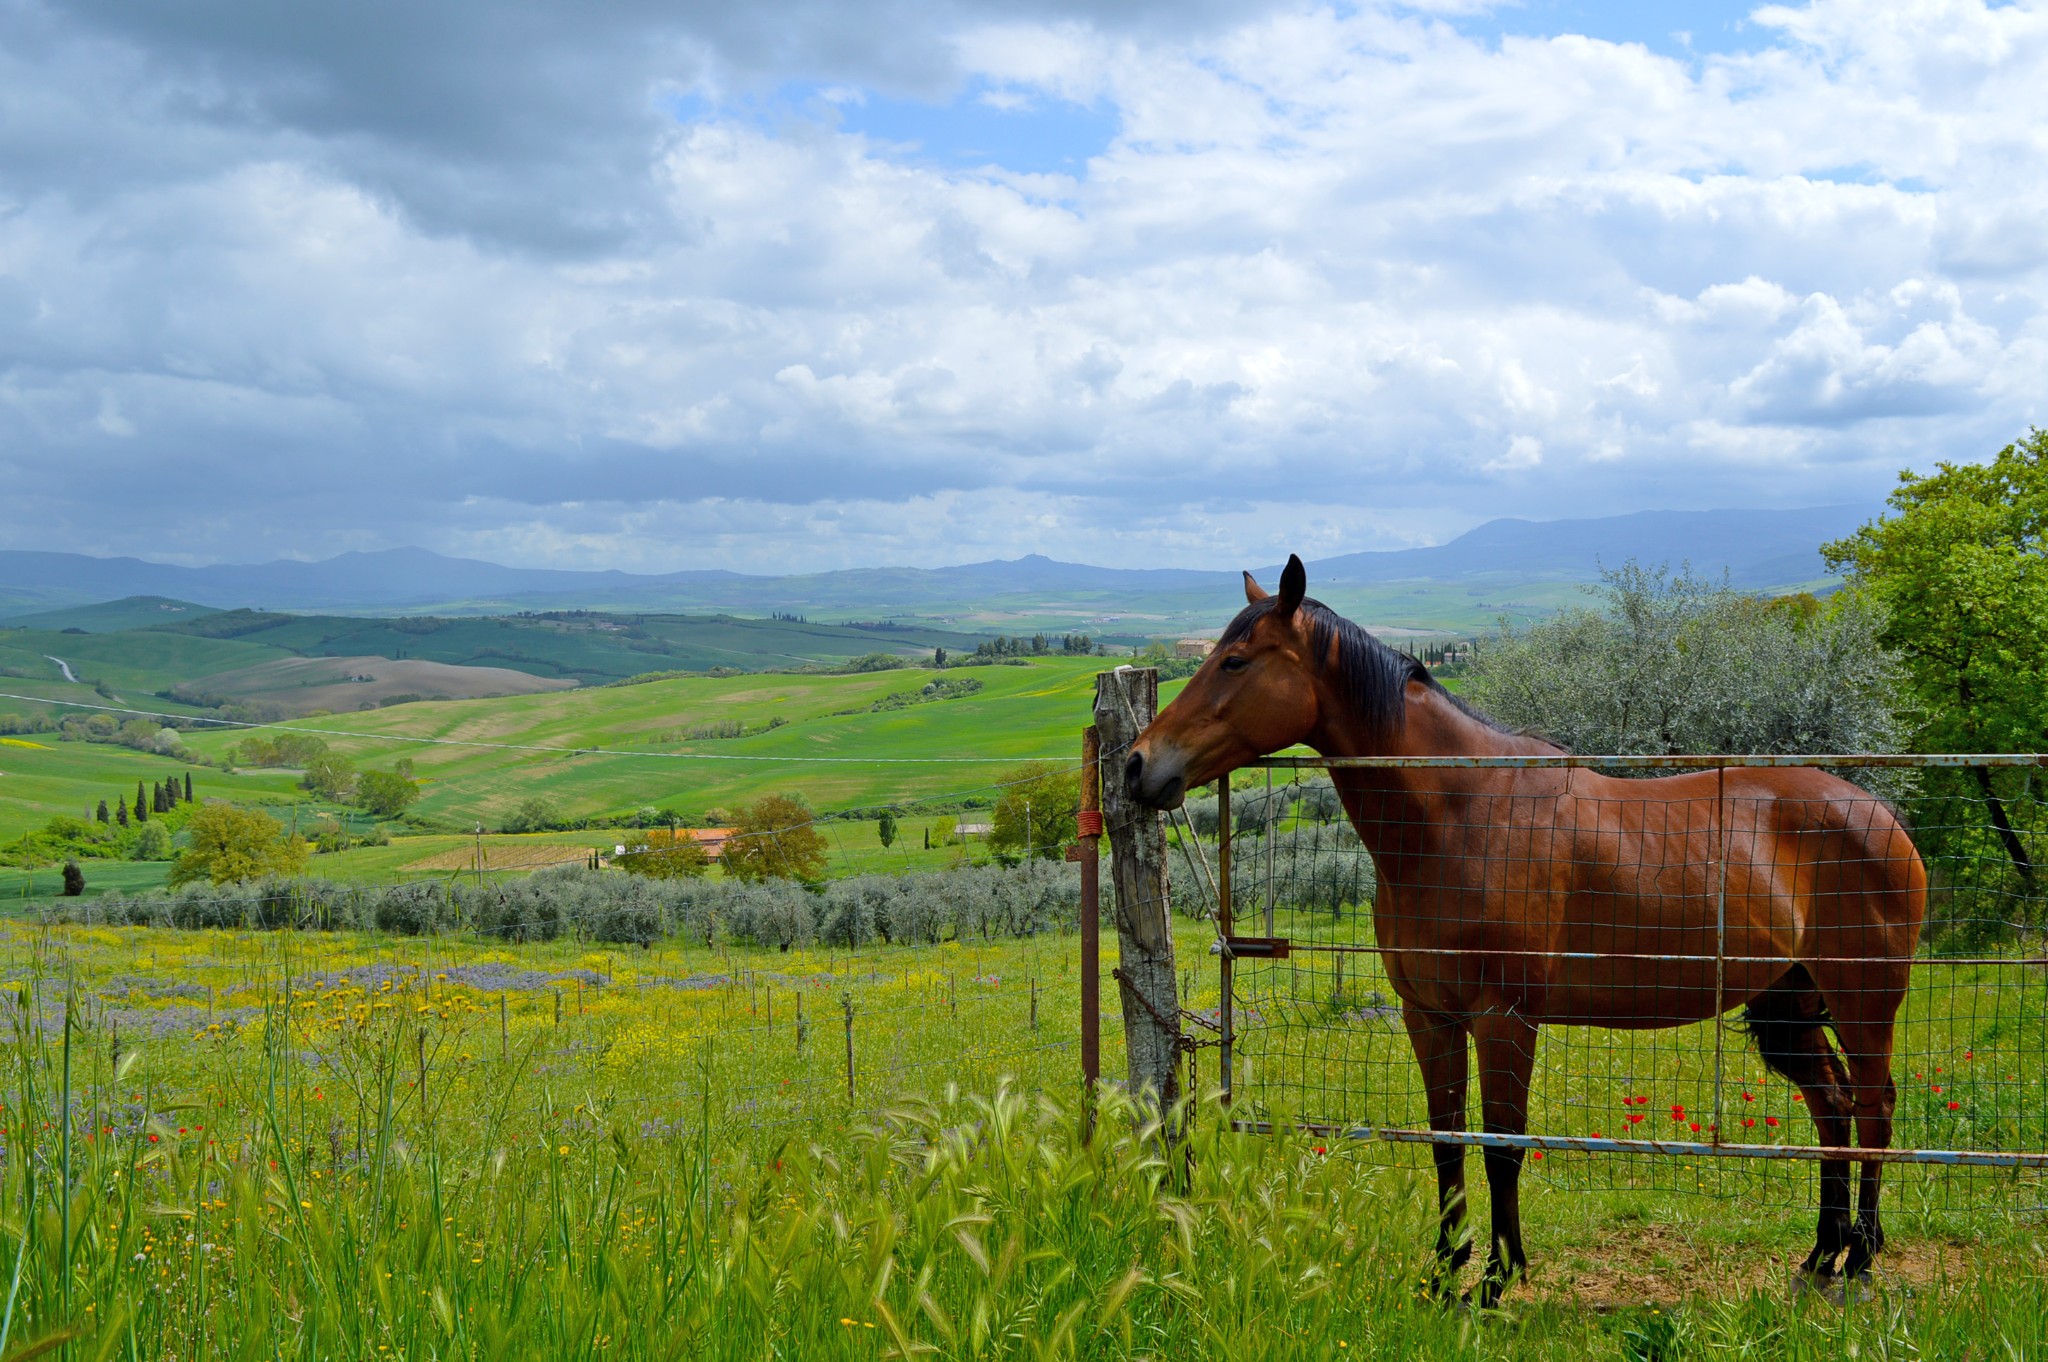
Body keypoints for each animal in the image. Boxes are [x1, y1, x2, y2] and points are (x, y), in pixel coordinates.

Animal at [1130, 557, 1925, 1310]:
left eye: (1236, 661)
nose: (1139, 764)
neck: (1461, 813)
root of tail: (1878, 813)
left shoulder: (1503, 1018)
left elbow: (1500, 1146)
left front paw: (1495, 1279)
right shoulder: (1431, 1017)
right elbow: (1446, 1141)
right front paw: (1442, 1273)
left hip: (1862, 1000)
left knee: (1876, 1107)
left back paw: (1860, 1259)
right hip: (1788, 1005)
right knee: (1833, 1109)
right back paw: (1821, 1256)